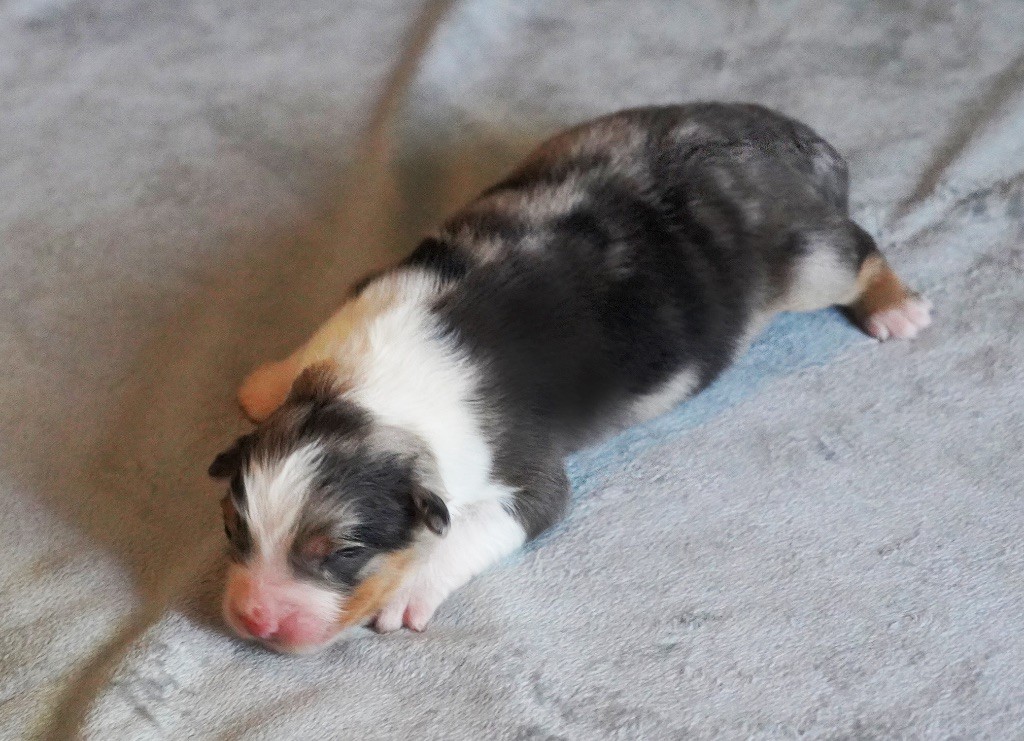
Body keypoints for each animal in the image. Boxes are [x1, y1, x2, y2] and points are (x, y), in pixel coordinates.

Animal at [205, 104, 929, 655]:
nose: (256, 621)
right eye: (234, 533)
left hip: (811, 258)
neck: (370, 395)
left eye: (343, 552)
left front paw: (410, 590)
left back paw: (895, 306)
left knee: (861, 251)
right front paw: (268, 382)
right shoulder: (364, 300)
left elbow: (485, 524)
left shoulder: (526, 471)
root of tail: (800, 145)